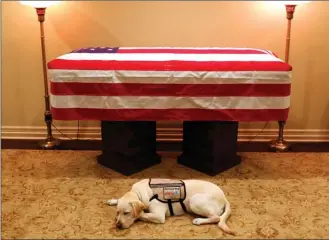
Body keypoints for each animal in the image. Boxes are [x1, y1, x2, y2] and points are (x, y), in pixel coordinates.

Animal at [106, 178, 234, 234]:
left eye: (126, 213)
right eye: (117, 212)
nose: (118, 225)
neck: (138, 193)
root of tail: (224, 197)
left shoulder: (158, 216)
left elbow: (141, 214)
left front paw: (139, 213)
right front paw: (113, 201)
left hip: (194, 200)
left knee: (216, 218)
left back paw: (198, 220)